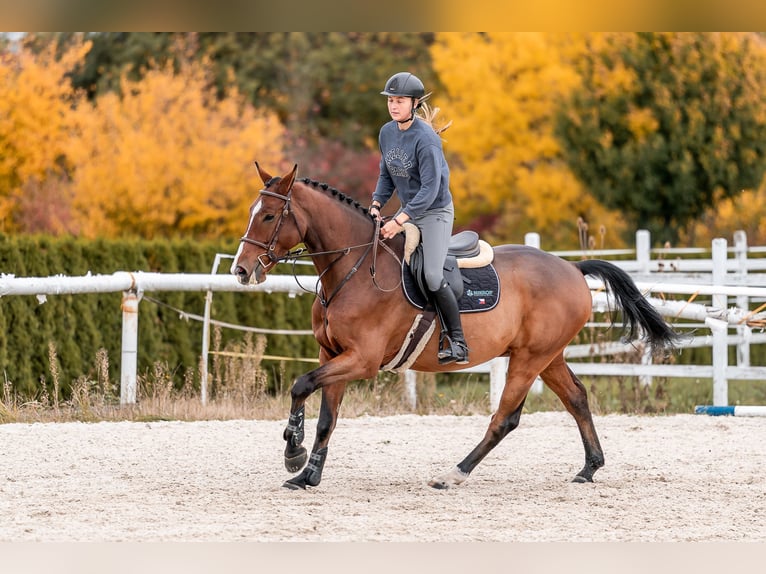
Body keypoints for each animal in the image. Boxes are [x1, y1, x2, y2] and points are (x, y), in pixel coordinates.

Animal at [231, 163, 680, 490]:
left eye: (269, 215)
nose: (241, 270)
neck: (353, 269)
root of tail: (572, 267)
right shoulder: (333, 354)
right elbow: (327, 416)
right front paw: (308, 474)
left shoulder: (362, 360)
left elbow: (301, 384)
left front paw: (293, 450)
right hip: (547, 356)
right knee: (577, 398)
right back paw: (589, 467)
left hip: (529, 359)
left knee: (505, 418)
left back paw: (454, 474)